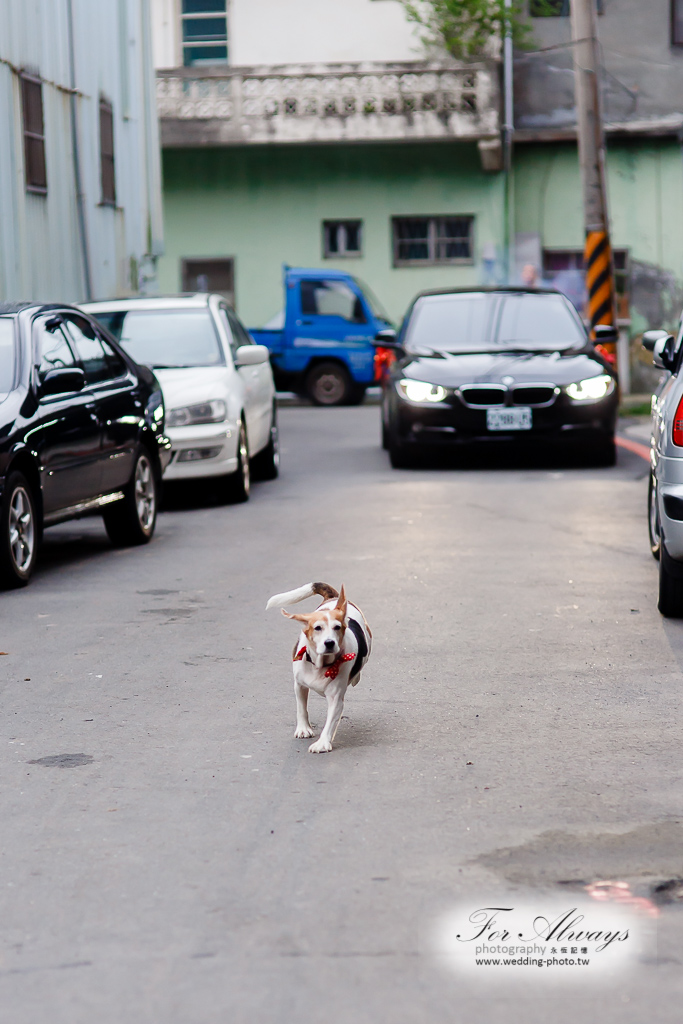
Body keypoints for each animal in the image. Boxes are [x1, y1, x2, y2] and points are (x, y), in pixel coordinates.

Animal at [266, 585, 374, 753]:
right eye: (317, 628)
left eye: (337, 627)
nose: (329, 643)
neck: (320, 665)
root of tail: (334, 598)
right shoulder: (299, 685)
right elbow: (301, 708)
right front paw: (303, 728)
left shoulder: (335, 698)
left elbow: (330, 722)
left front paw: (322, 742)